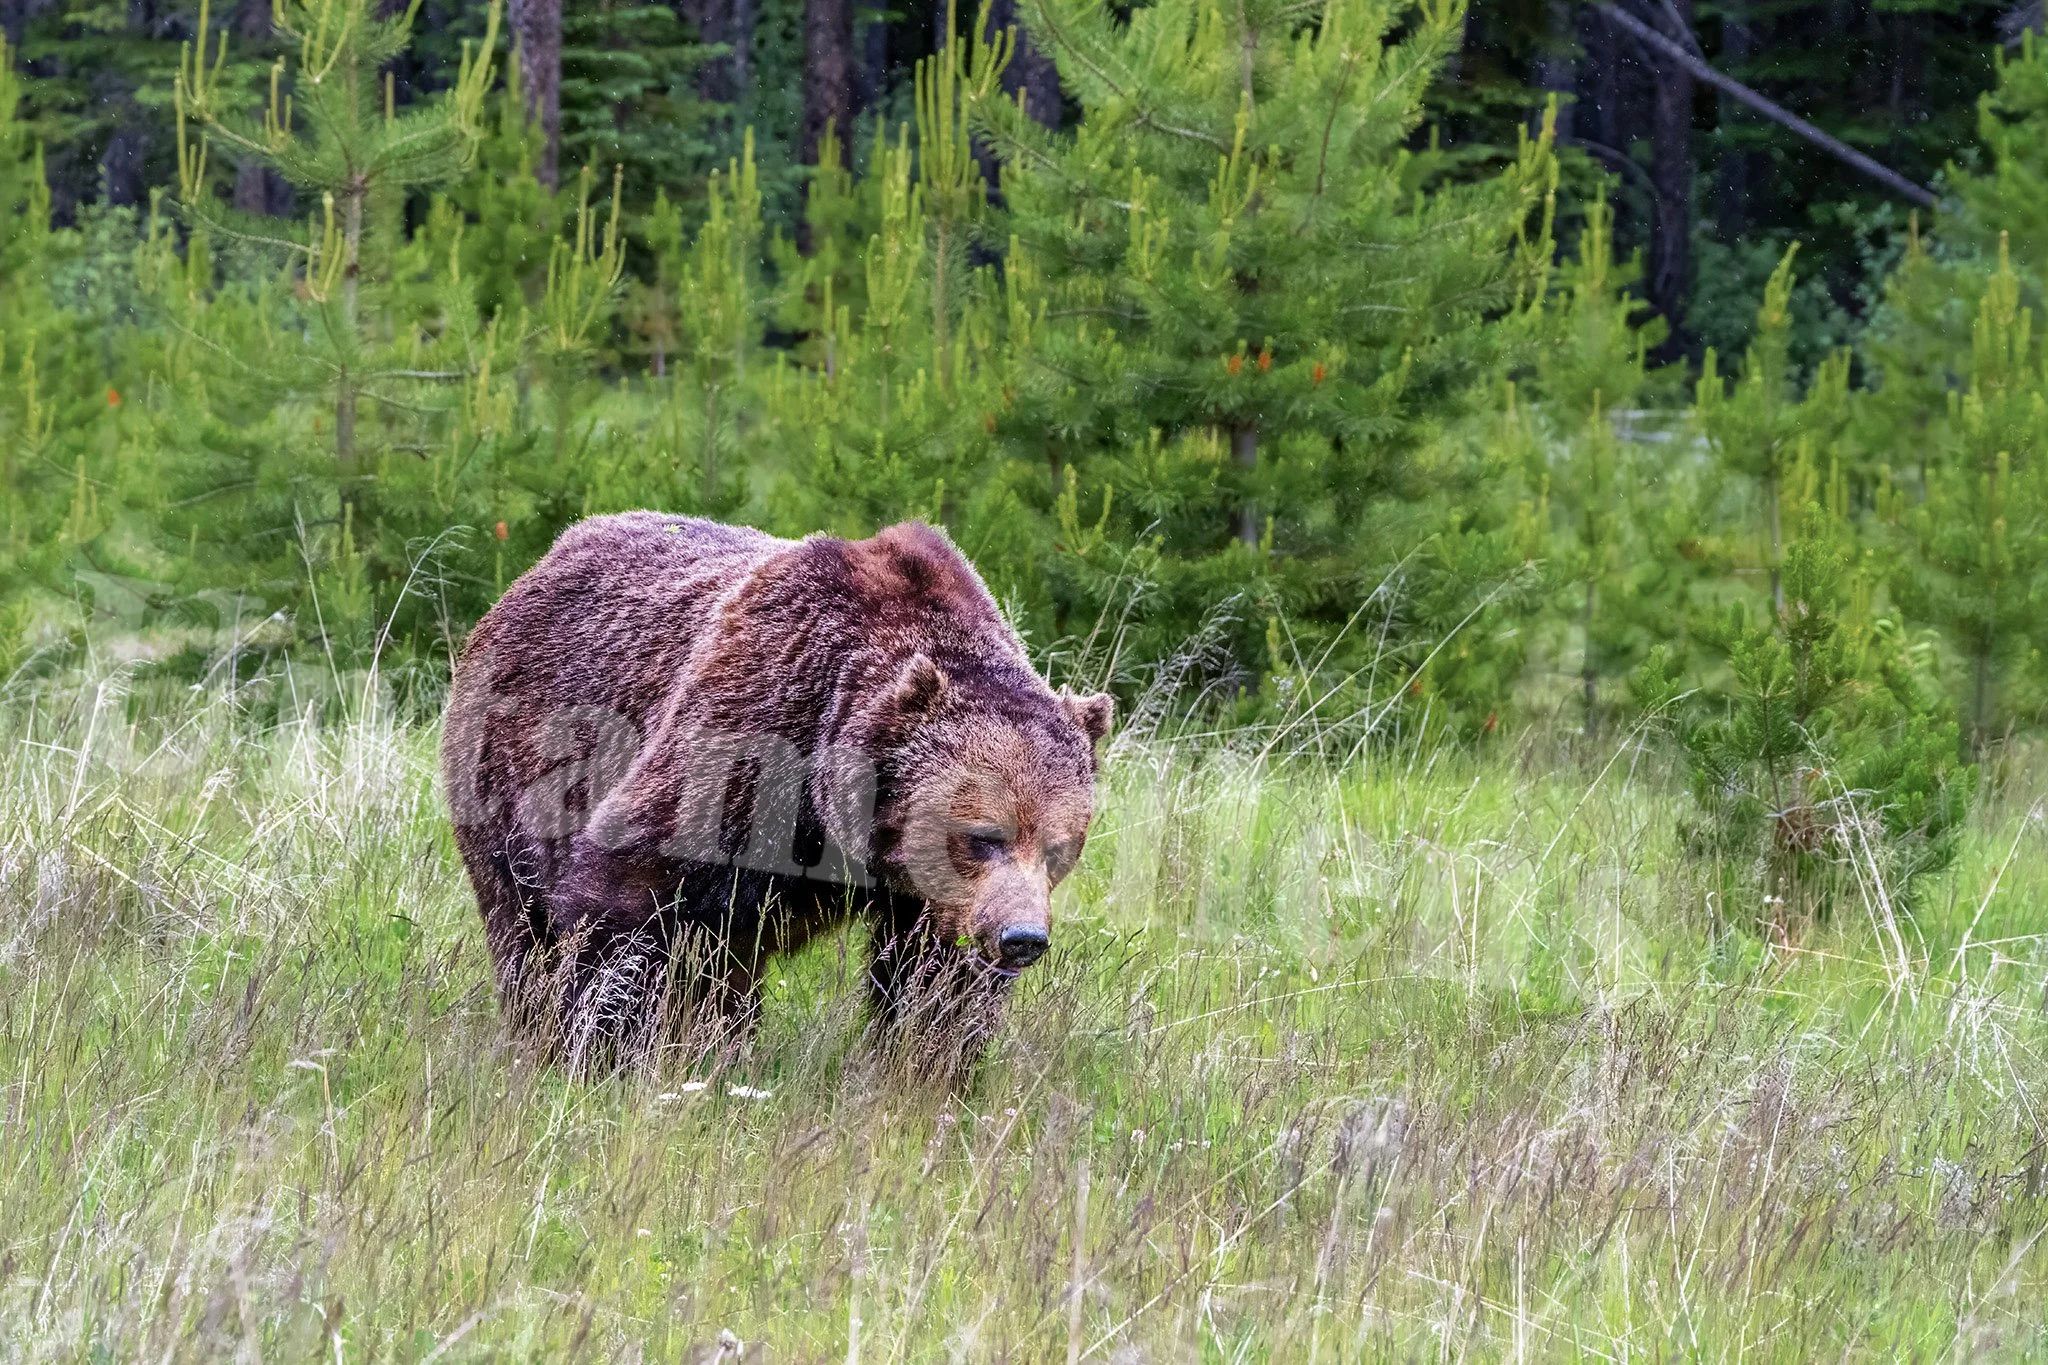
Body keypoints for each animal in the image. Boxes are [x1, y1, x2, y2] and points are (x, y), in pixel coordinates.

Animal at [440, 513, 1113, 1070]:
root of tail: (544, 561)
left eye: (1058, 849)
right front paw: (605, 1051)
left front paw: (928, 1065)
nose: (1022, 939)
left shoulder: (929, 897)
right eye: (983, 836)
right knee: (521, 919)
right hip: (513, 767)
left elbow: (935, 978)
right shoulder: (747, 738)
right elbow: (628, 892)